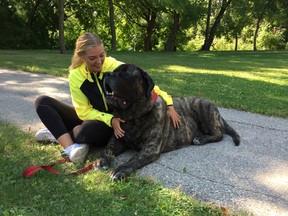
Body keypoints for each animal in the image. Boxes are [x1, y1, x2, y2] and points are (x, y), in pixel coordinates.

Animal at [94, 63, 238, 180]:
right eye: (114, 70)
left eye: (125, 73)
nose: (106, 74)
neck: (134, 117)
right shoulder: (117, 140)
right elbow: (107, 149)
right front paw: (100, 160)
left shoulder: (151, 148)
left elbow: (134, 159)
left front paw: (120, 170)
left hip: (203, 107)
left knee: (219, 134)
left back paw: (200, 139)